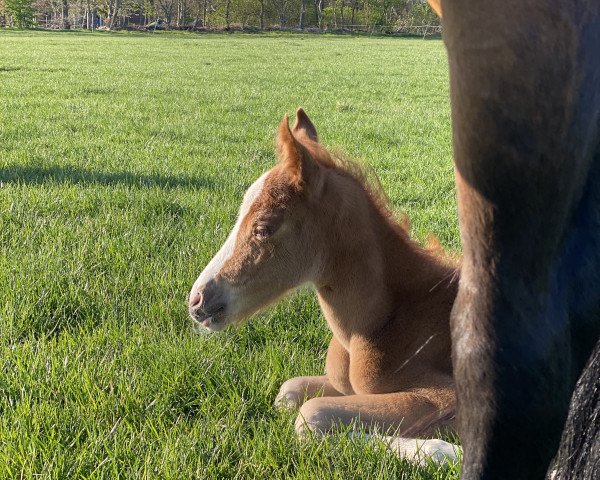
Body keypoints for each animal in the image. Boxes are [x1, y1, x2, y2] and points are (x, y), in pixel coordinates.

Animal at [188, 109, 460, 464]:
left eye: (264, 228)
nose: (196, 300)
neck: (383, 322)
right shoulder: (339, 385)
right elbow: (289, 392)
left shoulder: (447, 397)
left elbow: (311, 415)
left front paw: (442, 451)